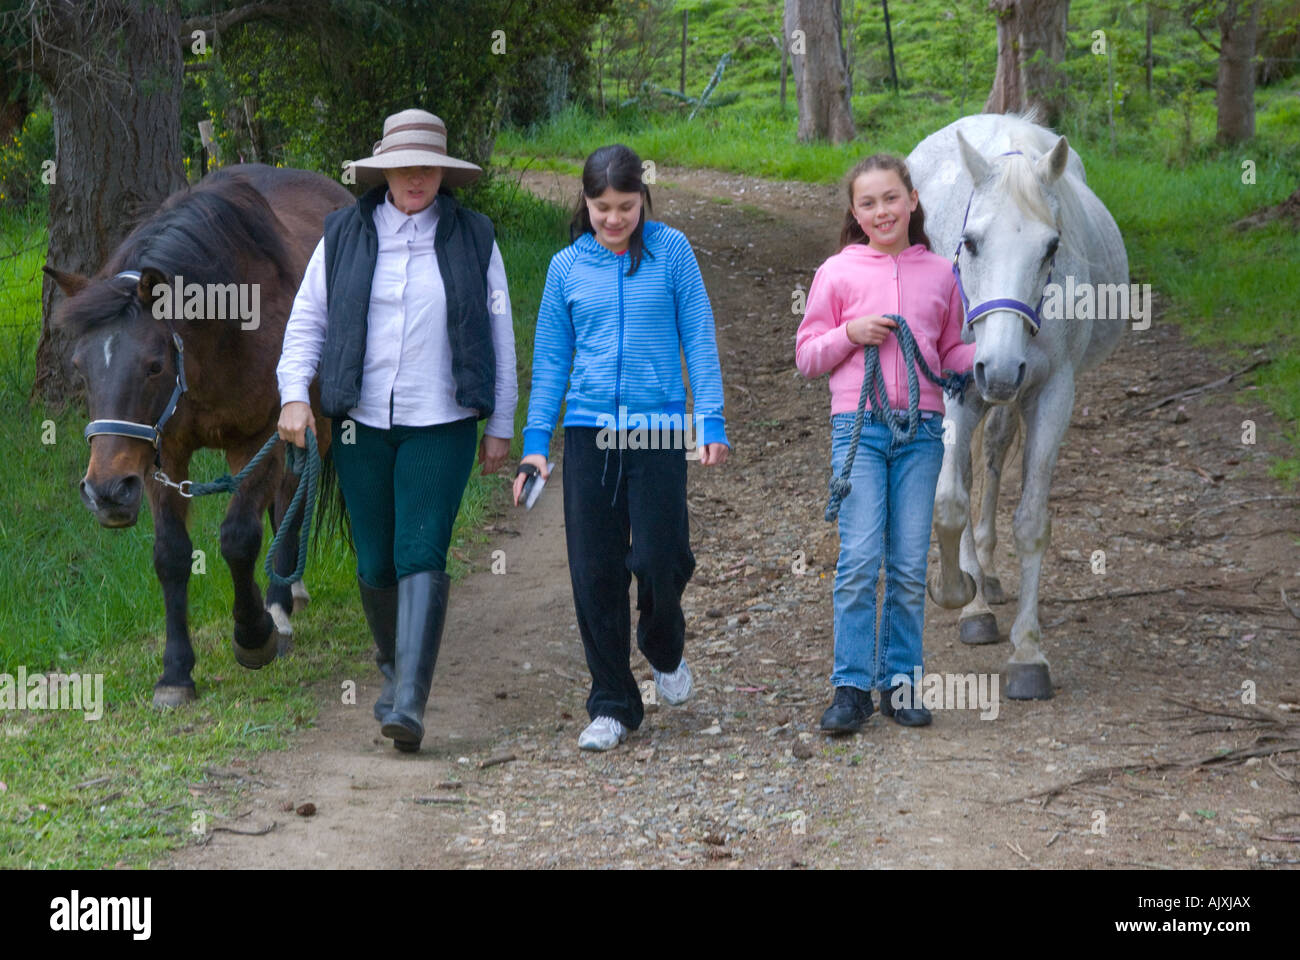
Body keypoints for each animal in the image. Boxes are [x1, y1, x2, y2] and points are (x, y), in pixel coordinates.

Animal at [45, 163, 353, 708]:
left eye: (153, 365)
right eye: (80, 367)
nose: (106, 493)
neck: (223, 332)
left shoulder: (257, 438)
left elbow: (237, 539)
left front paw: (254, 634)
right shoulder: (158, 453)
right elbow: (170, 554)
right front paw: (175, 671)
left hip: (310, 424)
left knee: (292, 498)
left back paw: (279, 605)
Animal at [907, 114, 1129, 699]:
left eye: (1051, 247)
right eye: (970, 242)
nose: (1001, 367)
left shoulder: (1051, 394)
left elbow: (1030, 522)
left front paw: (1028, 653)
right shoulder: (959, 387)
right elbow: (949, 500)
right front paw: (960, 597)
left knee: (994, 447)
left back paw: (987, 572)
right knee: (965, 471)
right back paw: (975, 588)